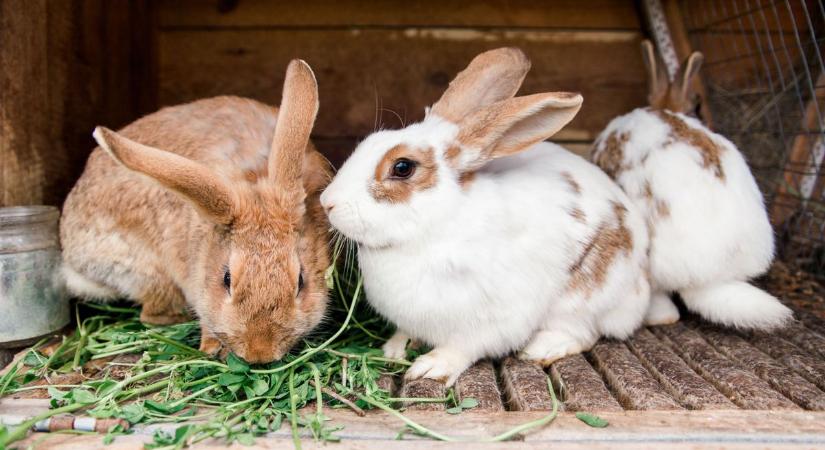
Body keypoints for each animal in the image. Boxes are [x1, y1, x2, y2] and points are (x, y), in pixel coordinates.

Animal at [59, 59, 334, 362]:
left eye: (301, 281)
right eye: (226, 279)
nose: (259, 353)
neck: (252, 176)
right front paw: (211, 346)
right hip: (150, 272)